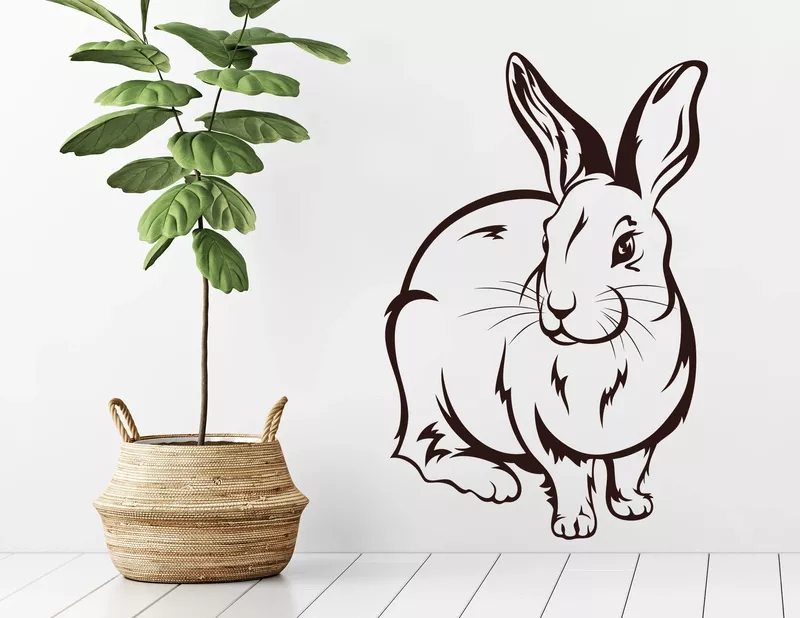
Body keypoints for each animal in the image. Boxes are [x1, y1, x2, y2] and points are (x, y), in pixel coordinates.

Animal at [385, 53, 706, 539]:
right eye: (546, 239)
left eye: (625, 247)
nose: (558, 309)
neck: (604, 349)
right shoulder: (542, 428)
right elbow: (569, 475)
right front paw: (574, 525)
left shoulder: (643, 437)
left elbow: (629, 469)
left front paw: (633, 507)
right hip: (414, 351)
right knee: (422, 446)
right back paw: (494, 480)